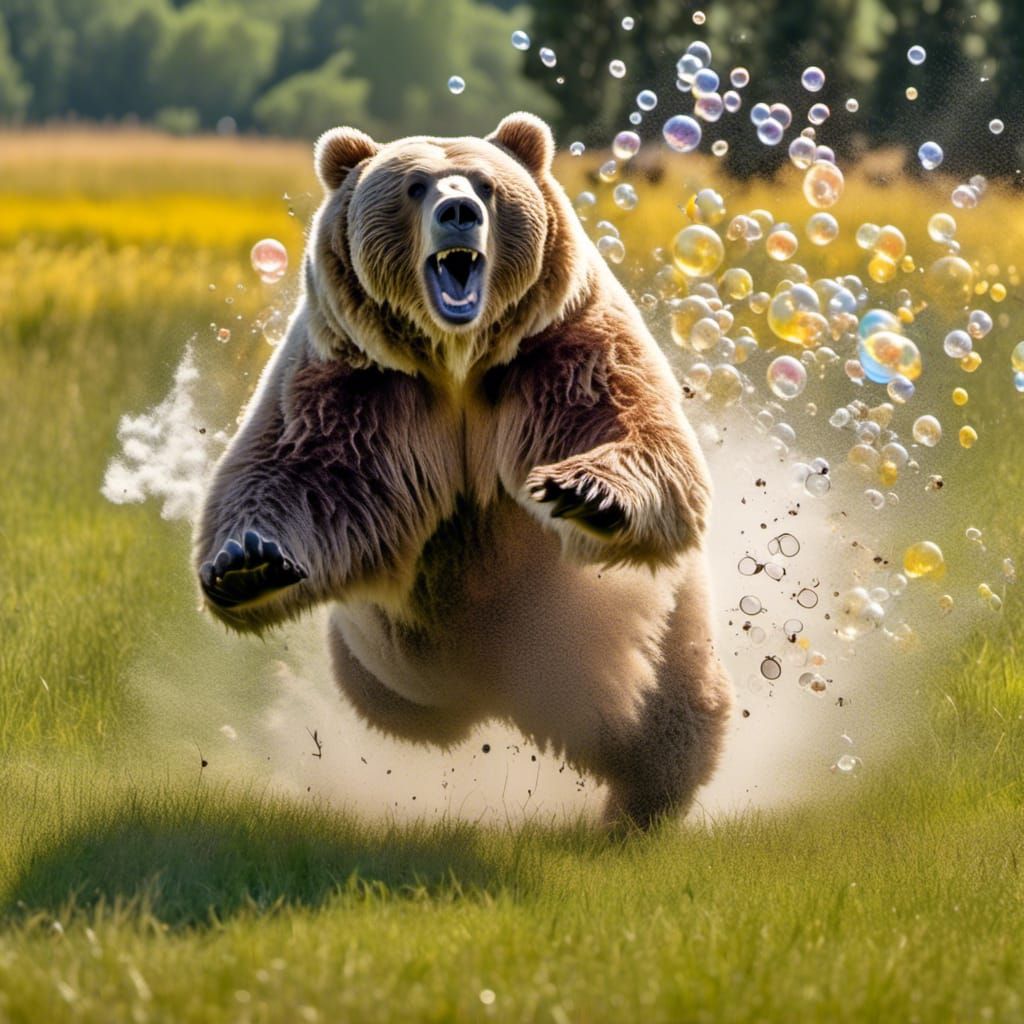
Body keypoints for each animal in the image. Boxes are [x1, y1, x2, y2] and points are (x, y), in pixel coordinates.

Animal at [194, 112, 733, 829]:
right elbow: (299, 473)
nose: (459, 212)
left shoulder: (561, 350)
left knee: (672, 703)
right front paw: (246, 563)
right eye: (416, 186)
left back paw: (646, 789)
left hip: (665, 620)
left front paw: (586, 491)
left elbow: (632, 427)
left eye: (485, 184)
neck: (458, 363)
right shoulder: (358, 384)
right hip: (387, 668)